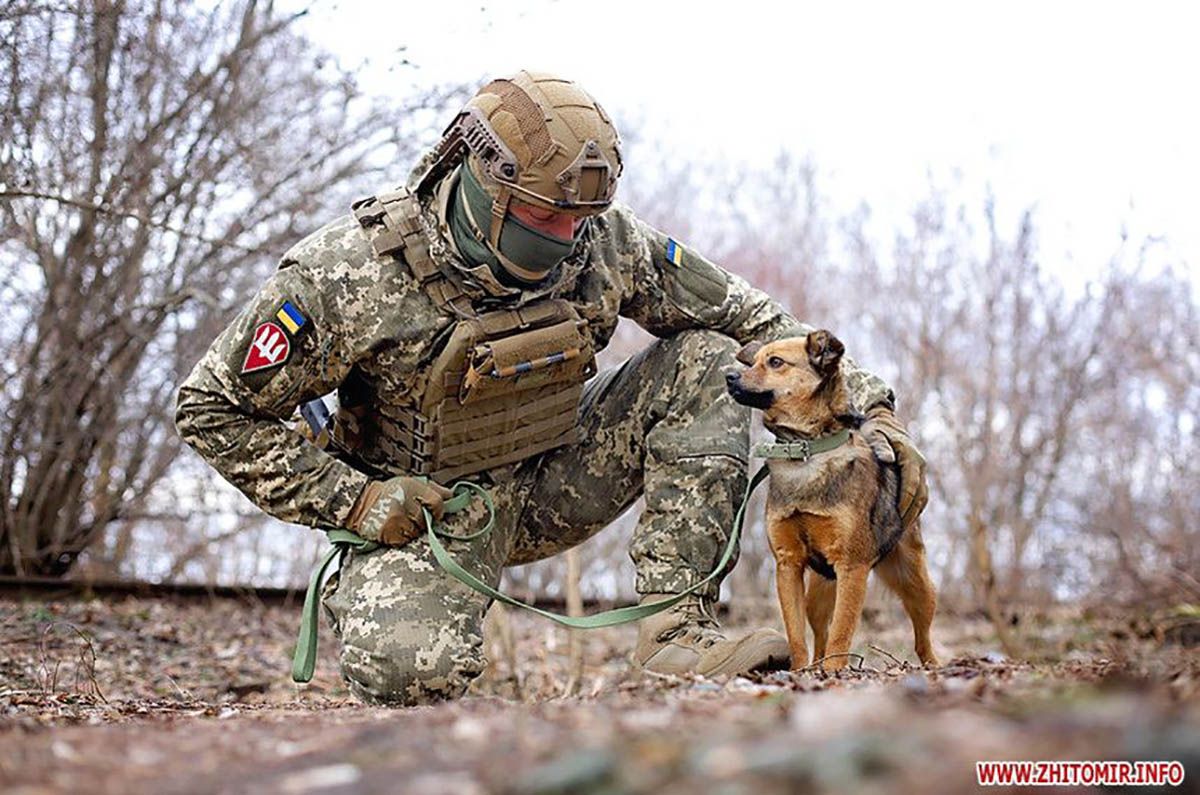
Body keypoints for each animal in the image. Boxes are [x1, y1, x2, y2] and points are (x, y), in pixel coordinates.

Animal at [724, 329, 940, 672]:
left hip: (915, 585)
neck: (806, 450)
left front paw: (834, 673)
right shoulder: (788, 565)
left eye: (775, 362)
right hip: (819, 592)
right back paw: (815, 665)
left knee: (922, 635)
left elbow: (842, 631)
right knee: (820, 632)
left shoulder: (852, 568)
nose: (729, 377)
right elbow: (797, 634)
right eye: (754, 361)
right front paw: (801, 672)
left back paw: (933, 664)